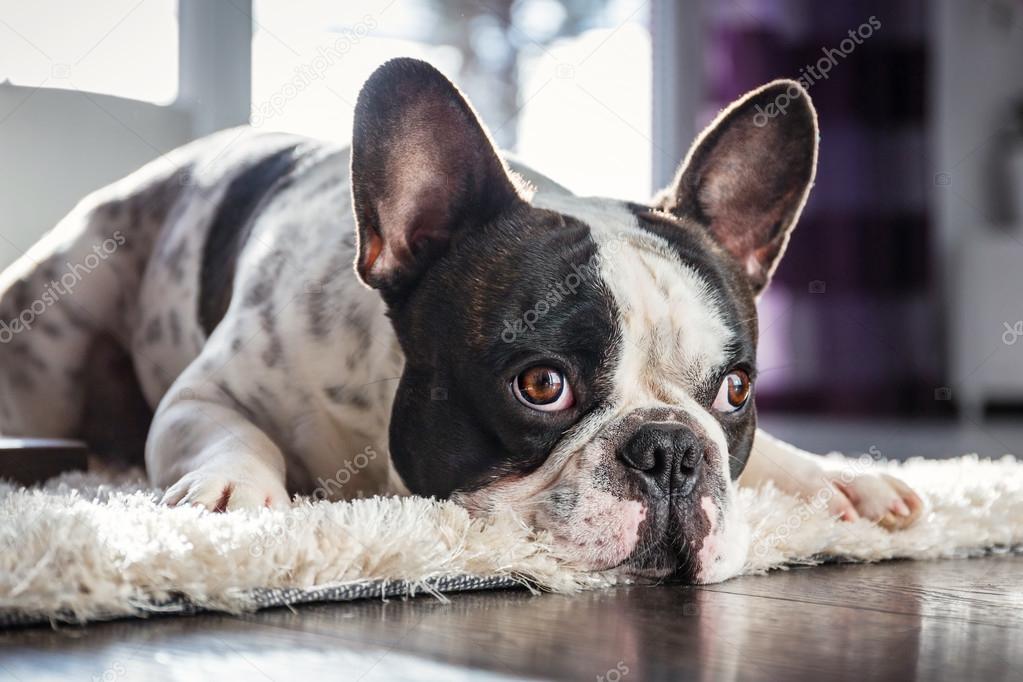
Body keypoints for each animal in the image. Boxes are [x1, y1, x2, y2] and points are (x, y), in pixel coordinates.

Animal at [0, 60, 924, 580]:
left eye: (734, 391)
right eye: (541, 386)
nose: (668, 453)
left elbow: (770, 457)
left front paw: (837, 478)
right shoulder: (202, 396)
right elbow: (231, 435)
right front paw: (236, 493)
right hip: (55, 331)